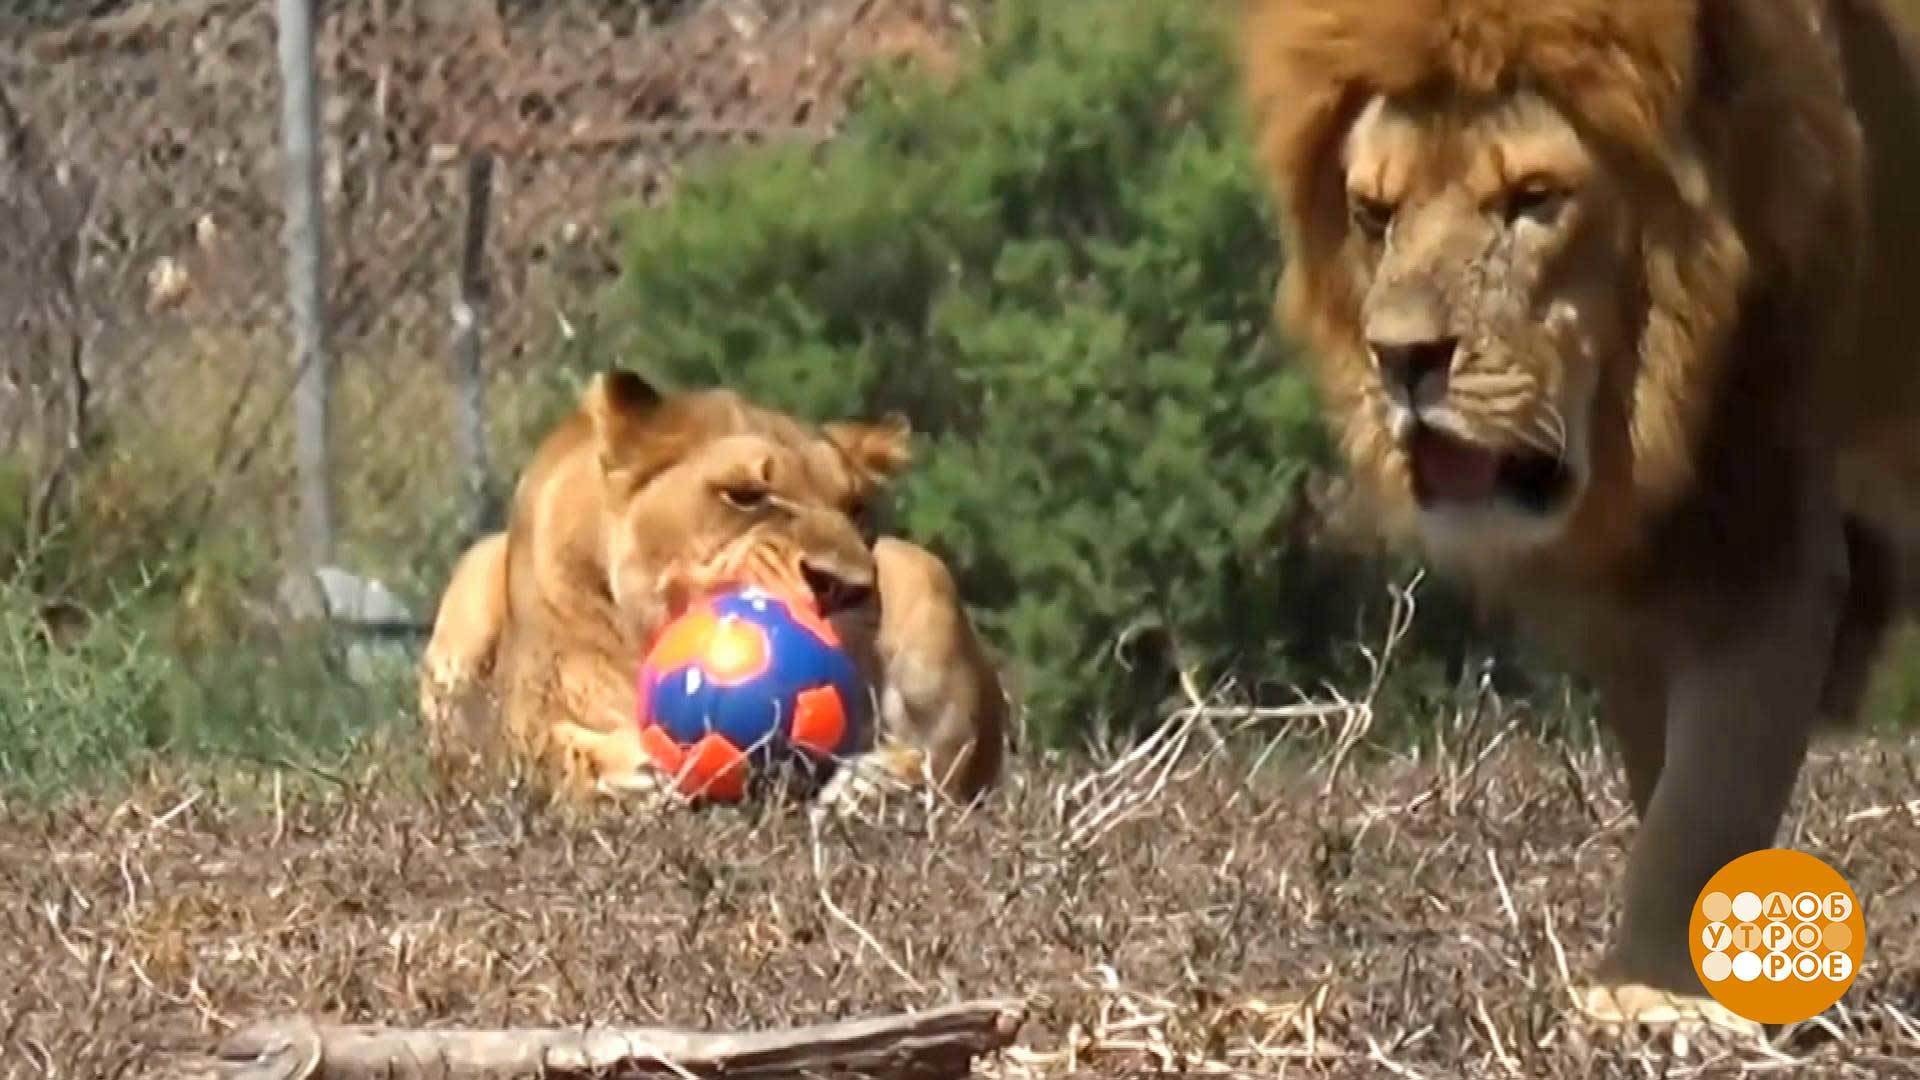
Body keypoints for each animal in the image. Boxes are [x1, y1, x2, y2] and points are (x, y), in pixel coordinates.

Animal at [422, 368, 1013, 807]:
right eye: (745, 495)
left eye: (856, 507)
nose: (846, 587)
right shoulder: (521, 722)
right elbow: (547, 753)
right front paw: (624, 778)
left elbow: (932, 765)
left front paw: (870, 785)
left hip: (920, 569)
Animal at [1244, 0, 1920, 1037]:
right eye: (1374, 213)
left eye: (1533, 198)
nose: (1401, 360)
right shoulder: (1648, 586)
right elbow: (1661, 773)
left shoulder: (1760, 533)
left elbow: (1707, 793)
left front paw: (1654, 993)